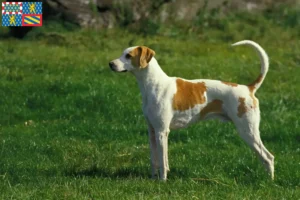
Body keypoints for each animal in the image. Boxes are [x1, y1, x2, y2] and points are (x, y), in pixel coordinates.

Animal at [109, 40, 274, 180]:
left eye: (128, 56)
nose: (110, 64)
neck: (154, 84)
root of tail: (248, 88)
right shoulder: (152, 131)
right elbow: (154, 160)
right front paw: (153, 179)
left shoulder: (162, 131)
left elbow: (162, 161)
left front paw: (162, 181)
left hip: (248, 131)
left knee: (268, 157)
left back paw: (268, 182)